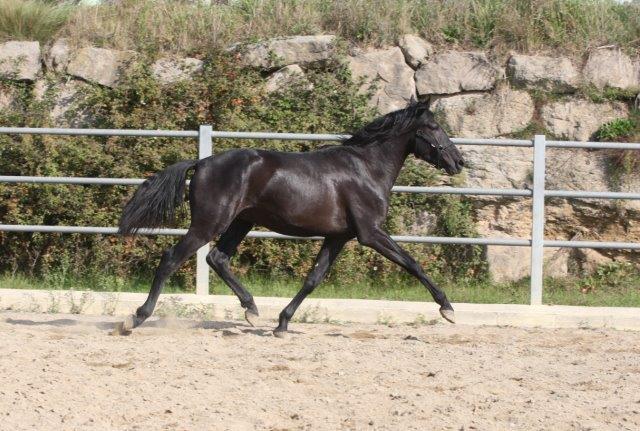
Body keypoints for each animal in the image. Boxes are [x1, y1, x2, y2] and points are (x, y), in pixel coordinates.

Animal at [116, 101, 465, 337]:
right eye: (434, 128)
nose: (458, 161)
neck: (366, 169)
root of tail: (201, 163)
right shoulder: (371, 233)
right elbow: (412, 263)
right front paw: (447, 309)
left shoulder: (338, 236)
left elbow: (313, 278)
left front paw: (282, 323)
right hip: (209, 223)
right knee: (172, 258)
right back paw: (135, 318)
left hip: (241, 222)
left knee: (218, 258)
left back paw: (252, 311)